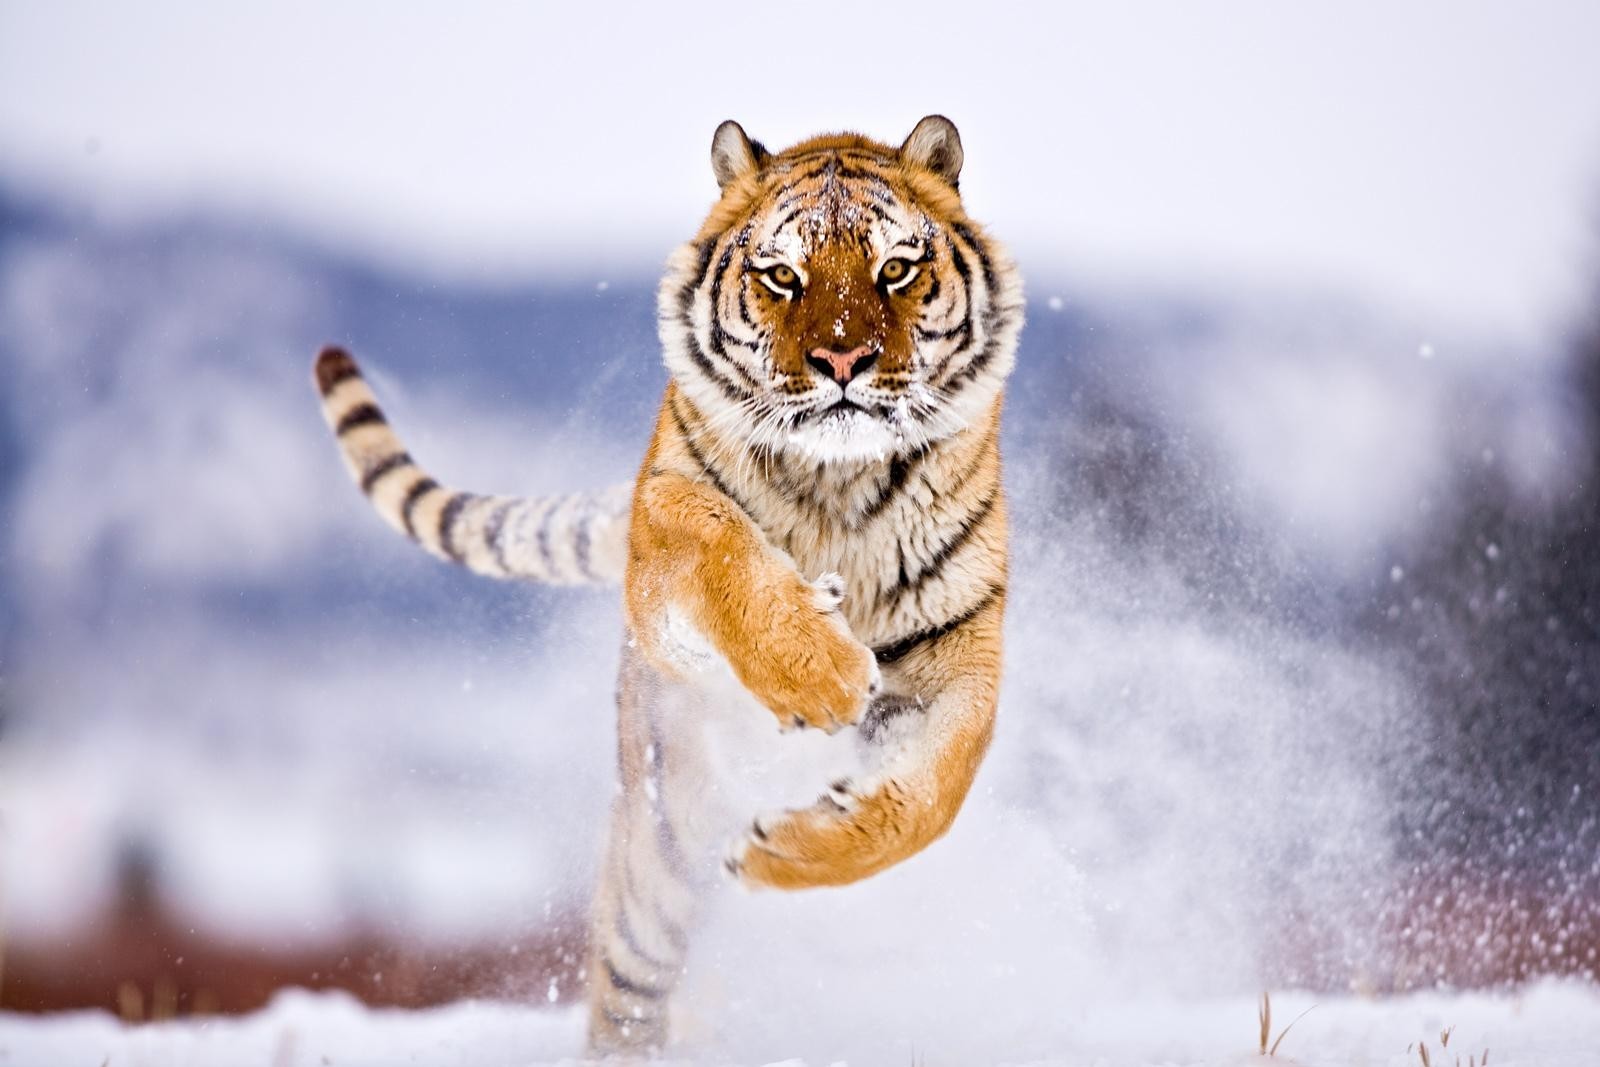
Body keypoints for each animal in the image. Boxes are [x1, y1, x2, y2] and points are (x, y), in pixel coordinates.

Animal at [311, 115, 1023, 1055]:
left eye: (896, 269)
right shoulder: (663, 538)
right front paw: (822, 671)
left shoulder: (958, 649)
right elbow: (719, 541)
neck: (838, 484)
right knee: (627, 979)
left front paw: (783, 850)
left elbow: (931, 796)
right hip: (660, 849)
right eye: (782, 274)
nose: (842, 358)